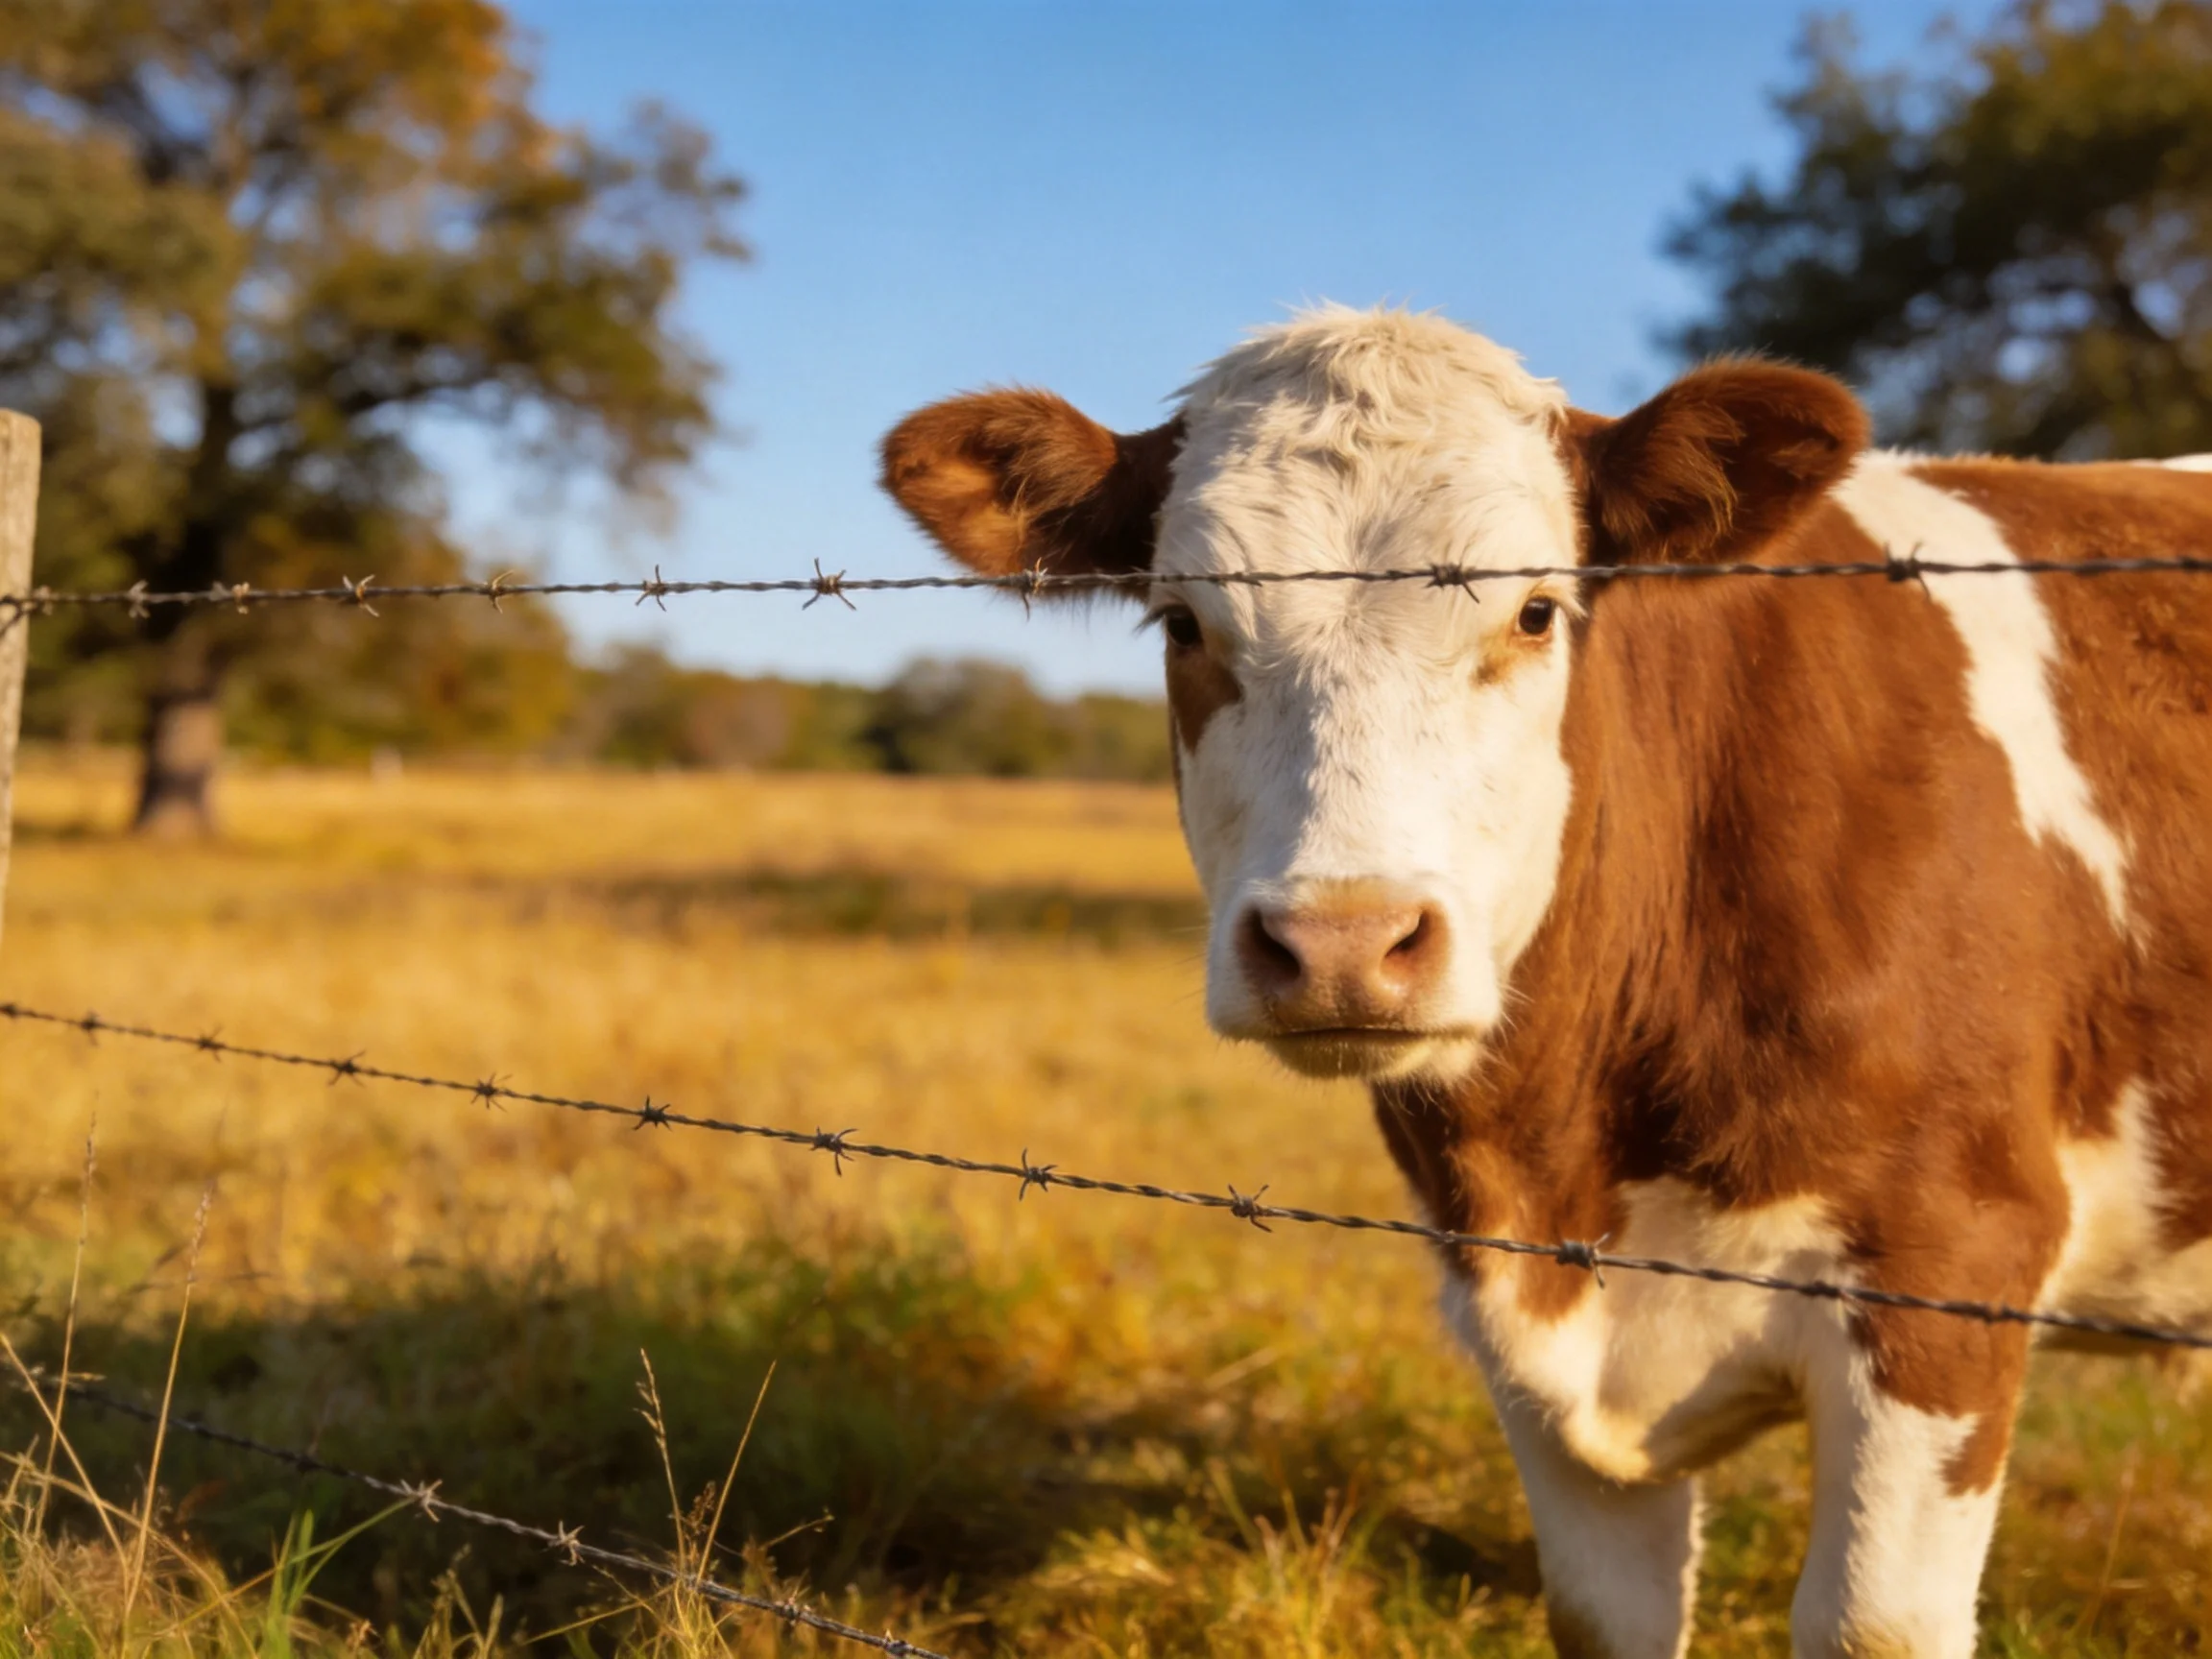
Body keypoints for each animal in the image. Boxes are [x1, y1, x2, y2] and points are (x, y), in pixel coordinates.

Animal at [876, 305, 2212, 1659]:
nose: (1345, 942)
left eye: (1532, 613)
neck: (1571, 1162)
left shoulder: (1950, 1264)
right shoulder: (1522, 1334)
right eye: (1185, 624)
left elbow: (1870, 1624)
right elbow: (1602, 1618)